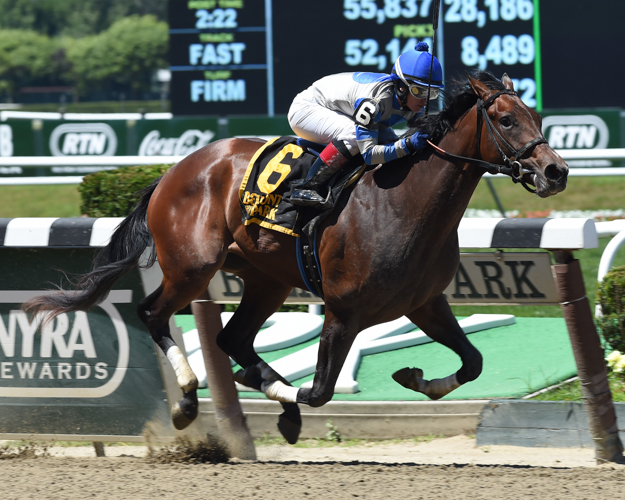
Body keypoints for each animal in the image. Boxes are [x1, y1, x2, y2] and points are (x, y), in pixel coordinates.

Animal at [24, 72, 564, 444]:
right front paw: (279, 397)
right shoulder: (343, 311)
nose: (555, 172)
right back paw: (188, 401)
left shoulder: (425, 303)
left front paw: (412, 376)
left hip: (268, 280)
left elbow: (472, 362)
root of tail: (173, 171)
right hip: (192, 266)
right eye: (507, 119)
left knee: (232, 337)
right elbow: (320, 389)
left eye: (538, 118)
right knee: (153, 313)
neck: (403, 205)